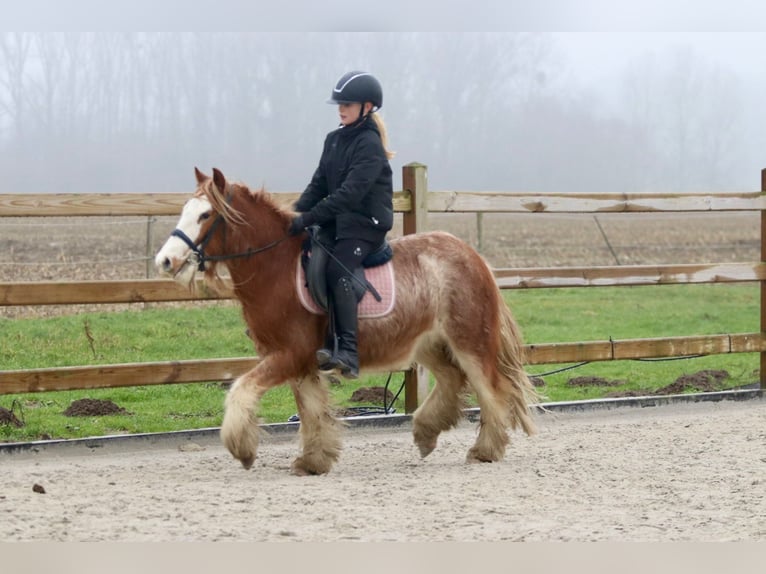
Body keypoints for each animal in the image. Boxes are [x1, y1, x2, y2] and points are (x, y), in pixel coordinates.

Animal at [157, 168, 540, 476]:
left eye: (205, 214)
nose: (165, 261)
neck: (277, 268)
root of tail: (473, 255)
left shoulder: (289, 355)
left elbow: (242, 390)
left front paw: (243, 449)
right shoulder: (301, 363)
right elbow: (312, 411)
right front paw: (313, 461)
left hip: (469, 340)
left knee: (491, 389)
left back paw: (485, 450)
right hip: (429, 343)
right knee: (451, 380)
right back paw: (426, 433)